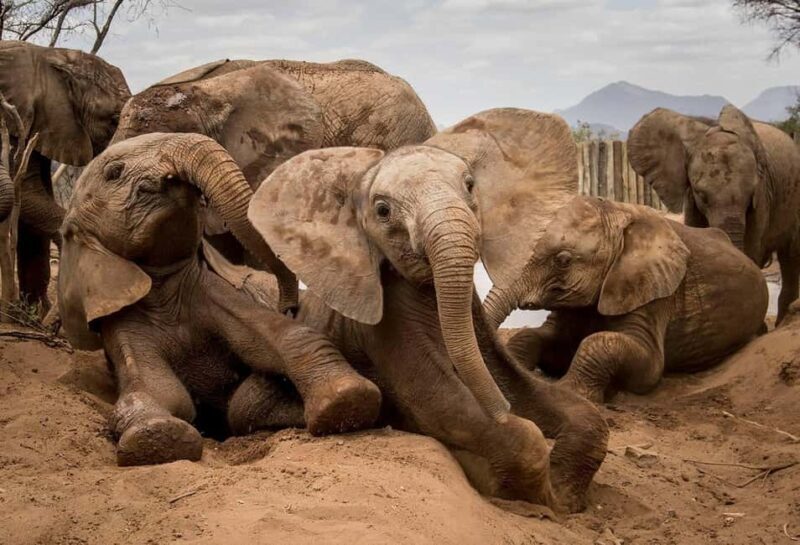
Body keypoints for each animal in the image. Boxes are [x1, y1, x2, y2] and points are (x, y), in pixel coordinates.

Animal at [57, 132, 381, 466]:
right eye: (114, 173)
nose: (289, 306)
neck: (164, 288)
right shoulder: (121, 321)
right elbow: (160, 390)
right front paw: (158, 439)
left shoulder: (213, 293)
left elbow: (289, 337)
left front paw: (347, 402)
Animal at [240, 108, 609, 513]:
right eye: (382, 211)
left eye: (470, 185)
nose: (503, 408)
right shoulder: (383, 332)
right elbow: (439, 403)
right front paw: (540, 493)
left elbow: (575, 411)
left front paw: (568, 496)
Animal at [483, 196, 768, 404]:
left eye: (563, 260)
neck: (617, 212)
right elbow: (538, 337)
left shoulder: (654, 293)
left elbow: (641, 362)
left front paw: (570, 394)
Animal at [628, 104, 800, 323]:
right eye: (701, 195)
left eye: (751, 195)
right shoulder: (690, 199)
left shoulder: (763, 199)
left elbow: (752, 250)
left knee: (791, 258)